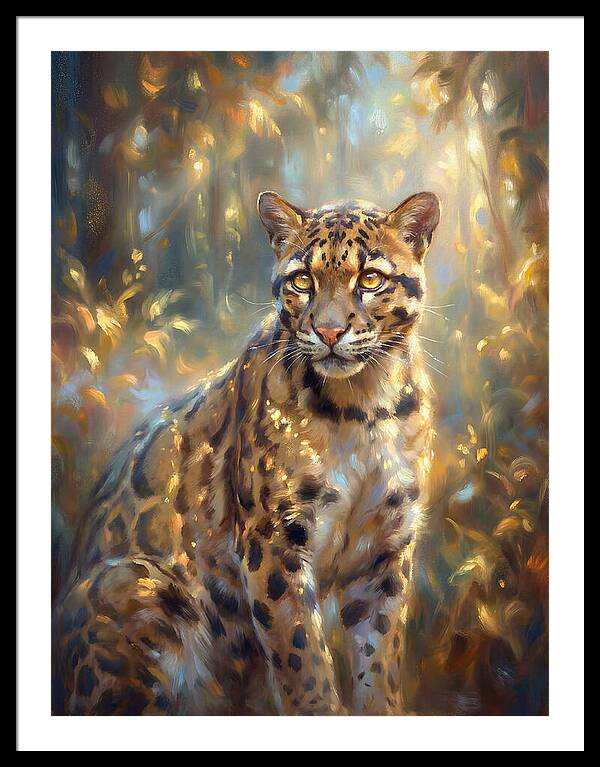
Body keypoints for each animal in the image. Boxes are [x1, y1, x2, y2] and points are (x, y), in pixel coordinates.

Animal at [53, 189, 440, 716]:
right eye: (302, 280)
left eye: (370, 279)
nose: (329, 332)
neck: (364, 408)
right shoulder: (274, 543)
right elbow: (302, 661)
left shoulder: (386, 549)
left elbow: (378, 660)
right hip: (135, 584)